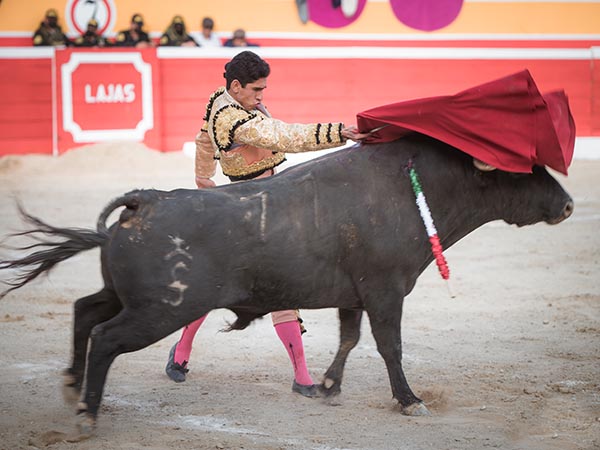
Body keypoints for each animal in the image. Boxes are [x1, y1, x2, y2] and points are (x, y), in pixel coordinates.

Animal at [0, 135, 572, 434]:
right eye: (524, 170)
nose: (567, 204)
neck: (417, 189)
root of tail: (146, 200)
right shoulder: (386, 290)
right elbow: (389, 346)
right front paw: (409, 400)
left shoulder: (355, 295)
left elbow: (350, 338)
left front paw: (327, 386)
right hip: (158, 310)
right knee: (105, 337)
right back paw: (87, 413)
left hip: (131, 298)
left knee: (84, 311)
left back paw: (72, 386)